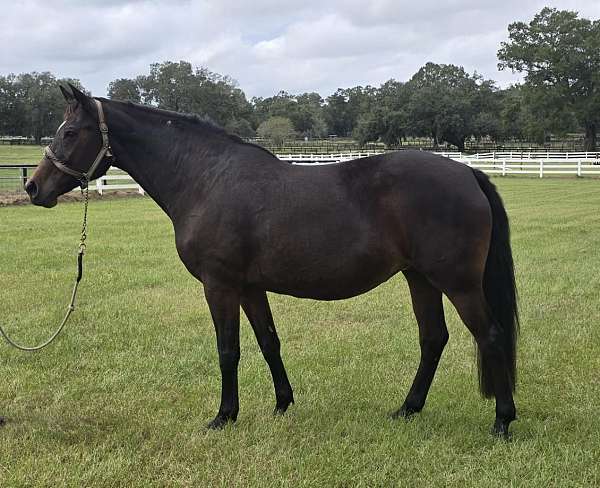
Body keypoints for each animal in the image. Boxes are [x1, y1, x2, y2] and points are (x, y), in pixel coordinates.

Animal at [22, 83, 520, 434]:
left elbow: (228, 349)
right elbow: (268, 342)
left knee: (491, 336)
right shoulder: (249, 287)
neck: (206, 178)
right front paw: (283, 403)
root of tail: (468, 174)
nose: (32, 187)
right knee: (433, 339)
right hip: (420, 278)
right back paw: (407, 409)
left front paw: (224, 416)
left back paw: (502, 420)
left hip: (457, 283)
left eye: (70, 132)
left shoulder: (220, 285)